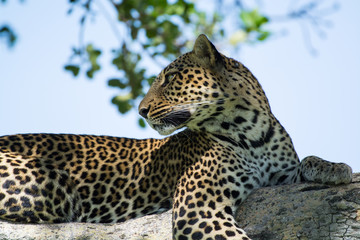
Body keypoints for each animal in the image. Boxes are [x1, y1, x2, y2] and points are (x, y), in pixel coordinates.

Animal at [0, 34, 352, 240]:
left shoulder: (278, 176)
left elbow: (304, 162)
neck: (252, 131)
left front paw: (334, 168)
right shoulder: (199, 206)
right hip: (48, 185)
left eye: (170, 78)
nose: (141, 110)